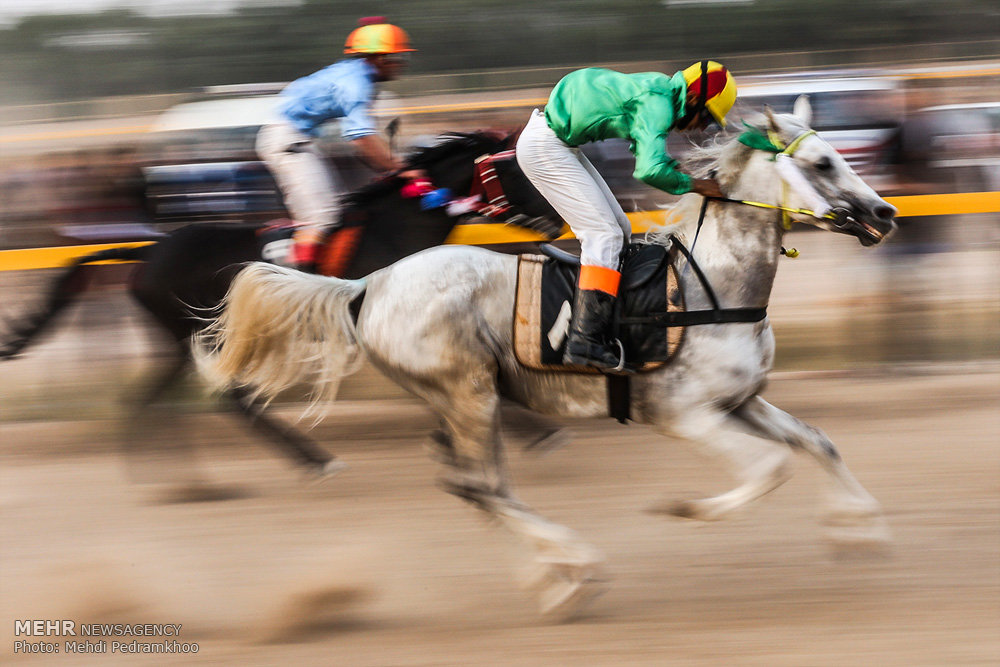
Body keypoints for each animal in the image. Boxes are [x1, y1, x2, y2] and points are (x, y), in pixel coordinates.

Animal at [0, 132, 564, 474]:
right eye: (521, 171)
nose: (557, 220)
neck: (395, 231)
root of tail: (149, 249)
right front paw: (528, 432)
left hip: (181, 340)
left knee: (148, 399)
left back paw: (180, 480)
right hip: (203, 333)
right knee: (230, 399)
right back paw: (311, 460)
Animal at [195, 100, 900, 620]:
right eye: (823, 162)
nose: (885, 211)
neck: (711, 287)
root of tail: (367, 284)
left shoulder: (742, 400)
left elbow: (817, 441)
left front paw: (858, 528)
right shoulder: (683, 414)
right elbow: (768, 468)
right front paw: (684, 509)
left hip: (458, 399)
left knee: (474, 486)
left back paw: (556, 575)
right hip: (469, 391)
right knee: (482, 485)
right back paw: (573, 569)